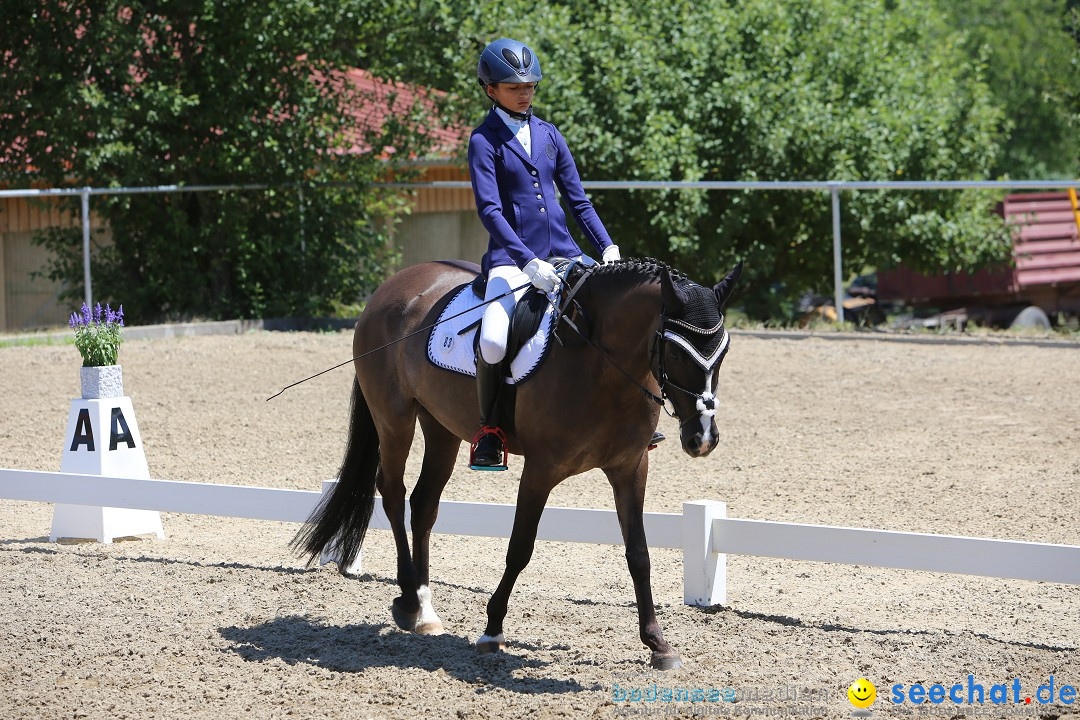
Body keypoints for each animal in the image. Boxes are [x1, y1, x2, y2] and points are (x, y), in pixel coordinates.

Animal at [291, 257, 738, 669]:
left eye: (723, 350)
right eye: (676, 351)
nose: (702, 439)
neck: (600, 363)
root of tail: (393, 285)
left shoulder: (630, 469)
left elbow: (639, 554)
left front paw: (658, 644)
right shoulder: (541, 469)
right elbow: (519, 548)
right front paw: (492, 631)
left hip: (441, 426)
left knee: (423, 504)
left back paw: (426, 610)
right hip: (393, 417)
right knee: (392, 492)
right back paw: (408, 602)